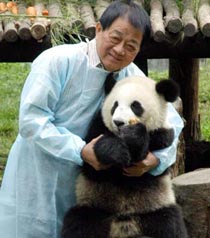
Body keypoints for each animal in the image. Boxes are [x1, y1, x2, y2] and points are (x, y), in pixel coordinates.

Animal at [61, 76, 188, 238]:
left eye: (135, 106)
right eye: (115, 105)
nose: (118, 122)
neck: (120, 135)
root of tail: (124, 223)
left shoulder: (161, 136)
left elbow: (145, 154)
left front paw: (134, 136)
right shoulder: (97, 127)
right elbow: (92, 166)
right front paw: (116, 151)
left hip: (155, 206)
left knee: (170, 224)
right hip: (93, 204)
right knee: (79, 223)